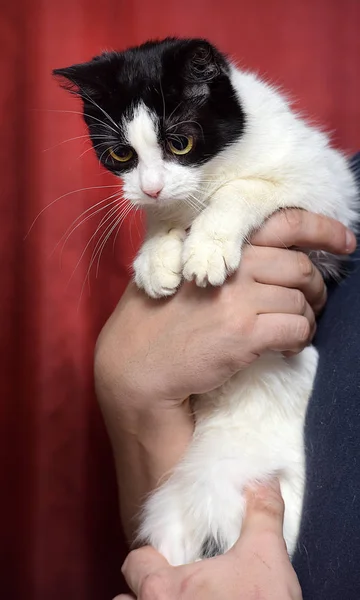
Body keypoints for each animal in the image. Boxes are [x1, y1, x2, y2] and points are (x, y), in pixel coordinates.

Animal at [54, 38, 358, 568]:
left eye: (181, 144)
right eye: (121, 153)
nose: (151, 185)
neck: (211, 172)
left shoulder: (331, 191)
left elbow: (246, 187)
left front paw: (207, 244)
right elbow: (165, 215)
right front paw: (157, 254)